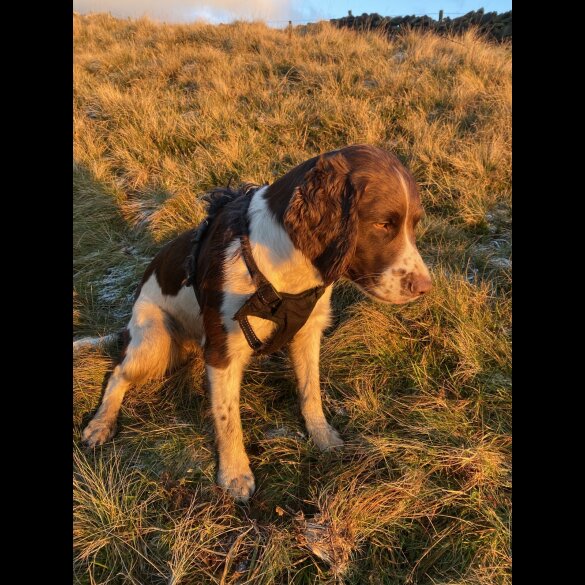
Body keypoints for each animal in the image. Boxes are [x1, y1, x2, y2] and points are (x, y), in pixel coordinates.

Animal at [76, 145, 428, 502]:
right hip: (153, 342)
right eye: (383, 224)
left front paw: (322, 435)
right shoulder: (223, 351)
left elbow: (310, 391)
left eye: (414, 224)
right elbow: (228, 416)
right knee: (118, 374)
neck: (282, 265)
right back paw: (100, 424)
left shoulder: (307, 333)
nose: (424, 287)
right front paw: (235, 473)